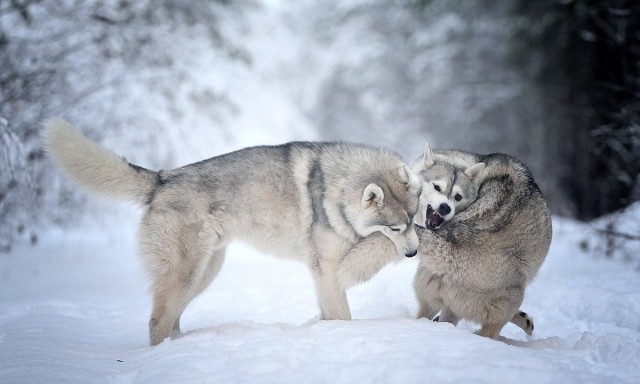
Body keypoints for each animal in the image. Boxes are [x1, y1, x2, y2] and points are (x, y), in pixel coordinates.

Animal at [41, 118, 420, 344]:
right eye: (396, 226)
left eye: (415, 218)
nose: (414, 252)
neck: (335, 189)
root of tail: (162, 178)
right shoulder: (325, 269)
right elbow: (342, 311)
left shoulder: (329, 269)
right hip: (188, 275)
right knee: (156, 321)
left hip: (203, 273)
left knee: (170, 317)